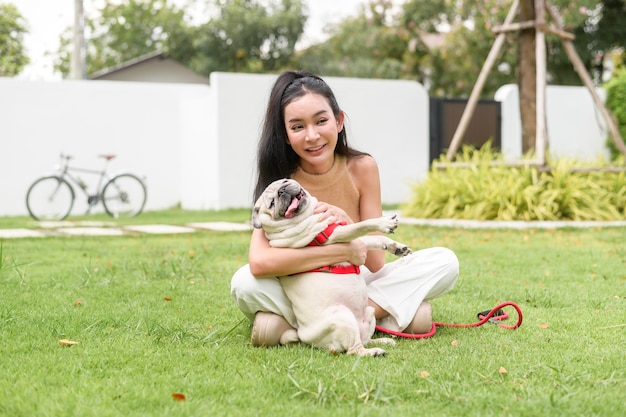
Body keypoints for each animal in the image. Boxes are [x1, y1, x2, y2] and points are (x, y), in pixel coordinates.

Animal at [251, 177, 412, 356]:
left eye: (285, 181)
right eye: (272, 203)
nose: (282, 191)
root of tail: (304, 337)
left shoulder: (354, 239)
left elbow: (376, 240)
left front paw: (396, 247)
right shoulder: (335, 234)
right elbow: (362, 225)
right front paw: (383, 222)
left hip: (369, 313)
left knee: (364, 339)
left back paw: (382, 341)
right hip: (343, 317)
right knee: (353, 350)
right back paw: (373, 352)